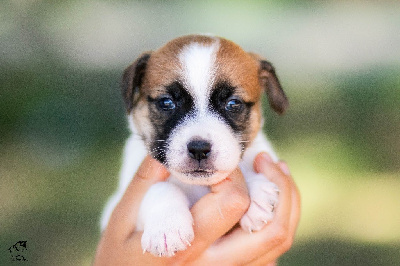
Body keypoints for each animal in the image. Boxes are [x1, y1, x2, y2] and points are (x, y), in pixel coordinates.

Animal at [100, 34, 288, 256]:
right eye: (166, 103)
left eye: (233, 104)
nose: (199, 149)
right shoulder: (114, 207)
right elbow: (159, 188)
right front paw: (167, 226)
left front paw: (256, 192)